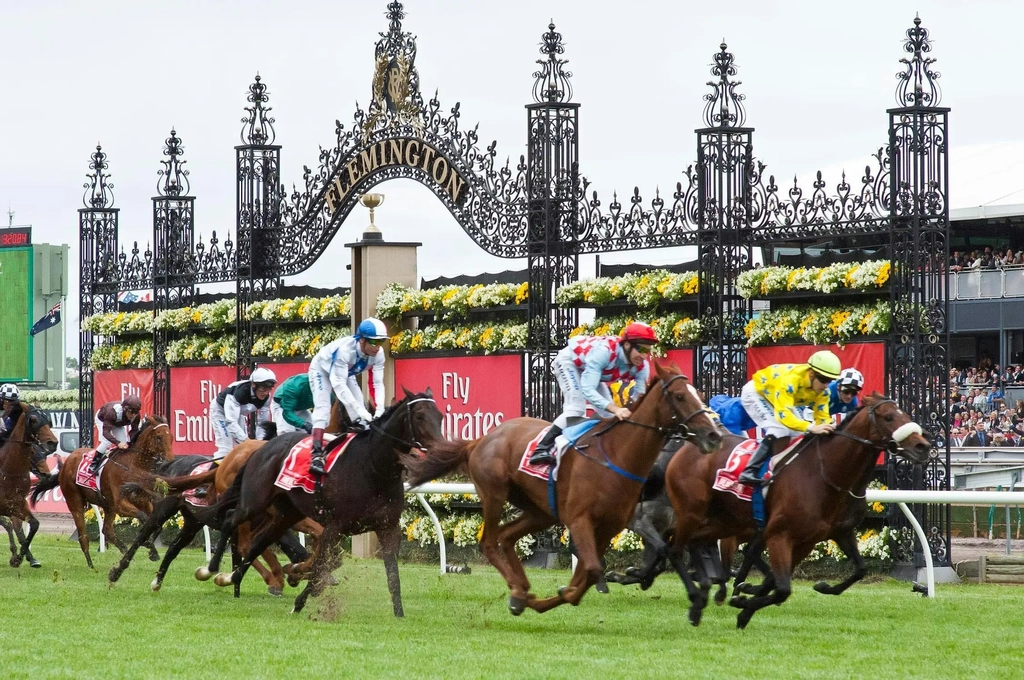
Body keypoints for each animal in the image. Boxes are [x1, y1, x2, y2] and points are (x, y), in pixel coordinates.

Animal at [0, 403, 58, 569]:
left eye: (48, 420)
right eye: (33, 420)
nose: (52, 443)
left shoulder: (17, 504)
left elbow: (32, 524)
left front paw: (20, 557)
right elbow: (11, 525)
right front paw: (18, 555)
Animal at [30, 413, 173, 569]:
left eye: (171, 437)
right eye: (159, 437)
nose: (170, 461)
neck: (133, 466)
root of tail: (68, 461)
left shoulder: (142, 501)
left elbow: (156, 524)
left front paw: (152, 550)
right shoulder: (120, 505)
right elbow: (143, 517)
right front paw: (148, 544)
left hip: (108, 505)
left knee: (107, 530)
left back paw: (125, 554)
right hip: (75, 501)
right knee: (83, 535)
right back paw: (91, 565)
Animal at [199, 387, 440, 614]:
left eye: (440, 416)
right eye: (419, 416)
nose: (436, 448)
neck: (373, 467)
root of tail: (256, 449)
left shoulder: (387, 527)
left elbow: (389, 575)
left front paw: (399, 613)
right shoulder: (333, 526)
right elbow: (324, 563)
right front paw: (299, 591)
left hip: (285, 514)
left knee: (257, 542)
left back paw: (237, 577)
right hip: (255, 502)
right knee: (232, 521)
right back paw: (212, 570)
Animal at [401, 360, 720, 614]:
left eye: (700, 394)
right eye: (680, 396)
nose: (714, 435)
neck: (616, 455)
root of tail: (480, 439)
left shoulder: (609, 526)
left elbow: (588, 574)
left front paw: (551, 597)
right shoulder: (580, 520)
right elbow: (592, 569)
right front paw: (544, 599)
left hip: (541, 510)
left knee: (507, 537)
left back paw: (520, 590)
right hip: (494, 494)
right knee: (489, 541)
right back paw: (517, 589)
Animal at [663, 393, 937, 626]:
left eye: (906, 414)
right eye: (889, 417)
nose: (923, 446)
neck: (825, 474)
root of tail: (687, 447)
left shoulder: (826, 535)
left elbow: (859, 569)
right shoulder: (779, 534)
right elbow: (782, 588)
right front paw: (743, 603)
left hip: (723, 522)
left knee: (691, 541)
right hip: (696, 514)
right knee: (676, 544)